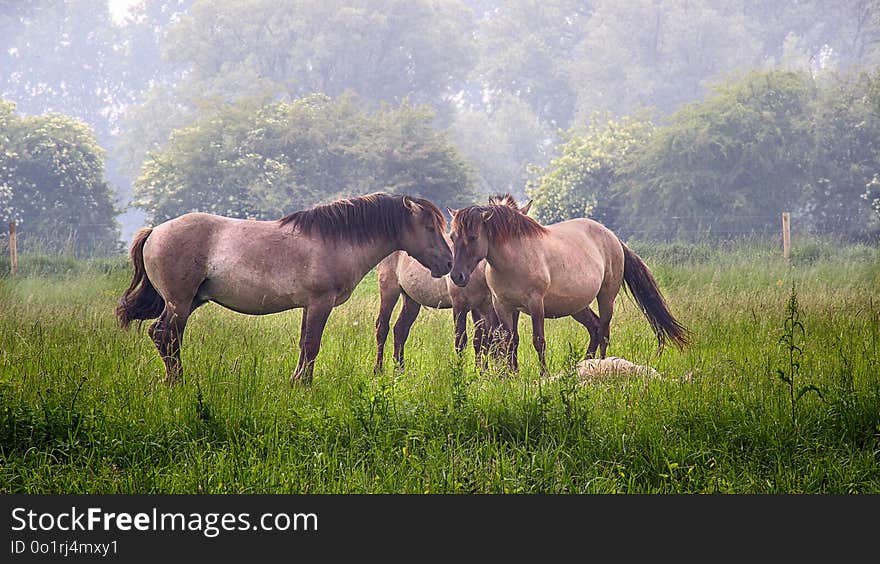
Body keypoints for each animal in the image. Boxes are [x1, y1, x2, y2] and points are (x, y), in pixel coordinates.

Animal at [113, 193, 450, 384]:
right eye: (429, 227)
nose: (448, 262)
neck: (336, 240)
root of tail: (155, 231)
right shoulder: (320, 303)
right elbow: (312, 345)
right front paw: (305, 384)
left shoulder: (308, 306)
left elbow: (304, 344)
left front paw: (296, 379)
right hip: (179, 302)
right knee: (164, 335)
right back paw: (176, 382)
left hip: (191, 301)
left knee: (168, 337)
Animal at [372, 196, 528, 372]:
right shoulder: (462, 305)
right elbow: (465, 341)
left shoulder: (494, 307)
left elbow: (498, 339)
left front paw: (494, 371)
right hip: (389, 290)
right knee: (382, 327)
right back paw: (378, 370)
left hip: (411, 299)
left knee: (400, 330)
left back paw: (400, 371)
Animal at [450, 200, 692, 376]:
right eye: (452, 237)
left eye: (473, 237)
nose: (456, 276)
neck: (513, 259)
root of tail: (612, 237)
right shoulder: (504, 306)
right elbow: (510, 341)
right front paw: (511, 375)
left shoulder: (536, 304)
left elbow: (538, 341)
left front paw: (543, 374)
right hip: (578, 307)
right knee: (595, 328)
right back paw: (587, 363)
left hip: (606, 297)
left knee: (604, 331)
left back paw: (602, 364)